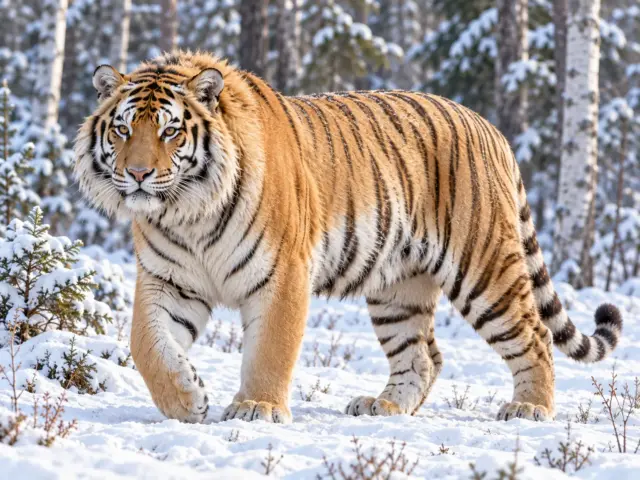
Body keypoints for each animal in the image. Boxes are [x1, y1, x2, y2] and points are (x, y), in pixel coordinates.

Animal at [75, 51, 622, 424]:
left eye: (170, 132)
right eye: (123, 129)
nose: (139, 174)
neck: (187, 213)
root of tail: (491, 128)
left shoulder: (283, 274)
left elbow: (271, 349)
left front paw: (256, 407)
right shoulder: (168, 280)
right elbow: (147, 344)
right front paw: (186, 400)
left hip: (484, 268)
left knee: (533, 335)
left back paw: (530, 408)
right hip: (398, 287)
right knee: (423, 355)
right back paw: (383, 406)